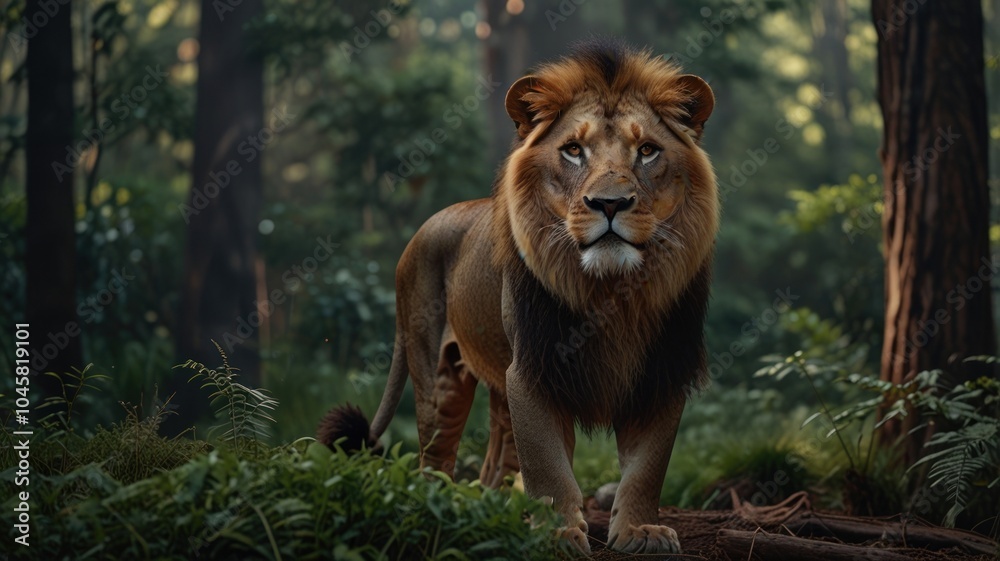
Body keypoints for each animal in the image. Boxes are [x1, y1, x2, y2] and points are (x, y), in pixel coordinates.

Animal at [319, 39, 718, 555]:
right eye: (573, 150)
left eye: (647, 151)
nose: (609, 204)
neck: (611, 290)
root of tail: (422, 230)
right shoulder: (532, 369)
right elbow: (548, 467)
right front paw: (559, 533)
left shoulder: (663, 372)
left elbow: (647, 468)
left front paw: (639, 531)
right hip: (438, 379)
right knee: (434, 456)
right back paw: (439, 512)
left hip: (498, 383)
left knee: (495, 463)